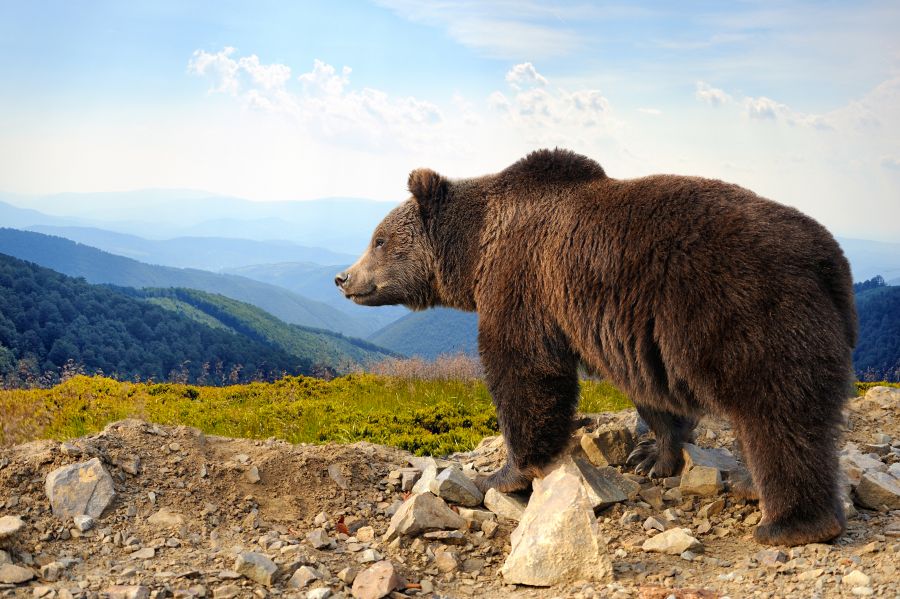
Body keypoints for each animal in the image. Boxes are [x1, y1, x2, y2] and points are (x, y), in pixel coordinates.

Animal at [336, 148, 856, 548]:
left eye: (378, 239)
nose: (344, 278)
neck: (476, 249)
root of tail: (829, 259)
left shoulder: (523, 281)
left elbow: (524, 372)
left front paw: (503, 474)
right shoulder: (633, 332)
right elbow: (651, 394)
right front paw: (652, 456)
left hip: (746, 311)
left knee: (777, 415)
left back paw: (790, 522)